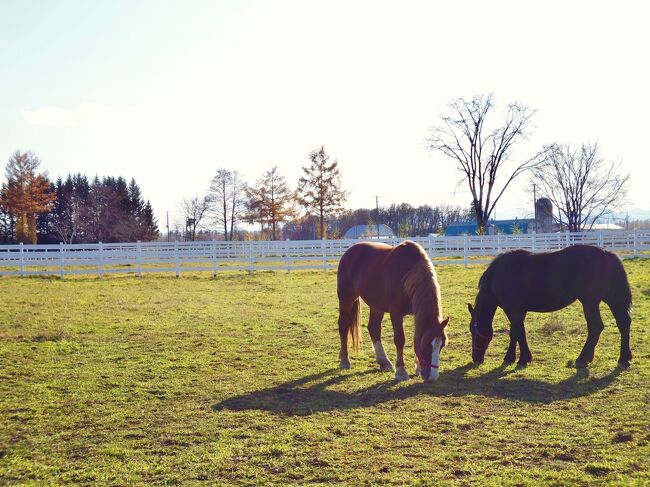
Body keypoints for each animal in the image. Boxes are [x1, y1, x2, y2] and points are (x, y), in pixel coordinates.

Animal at [336, 242, 448, 384]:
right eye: (426, 345)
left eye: (442, 345)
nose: (432, 377)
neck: (408, 272)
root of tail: (349, 252)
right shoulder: (396, 312)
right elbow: (400, 339)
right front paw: (401, 371)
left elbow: (415, 336)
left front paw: (417, 368)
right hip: (346, 299)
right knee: (343, 326)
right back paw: (345, 360)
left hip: (376, 305)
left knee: (374, 328)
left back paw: (384, 362)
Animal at [468, 246, 632, 368]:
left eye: (473, 331)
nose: (476, 358)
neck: (499, 274)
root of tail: (607, 254)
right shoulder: (518, 311)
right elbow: (514, 332)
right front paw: (510, 357)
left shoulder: (513, 310)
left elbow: (519, 332)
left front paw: (524, 359)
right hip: (609, 300)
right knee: (623, 323)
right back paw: (623, 358)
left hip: (590, 301)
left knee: (596, 327)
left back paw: (583, 358)